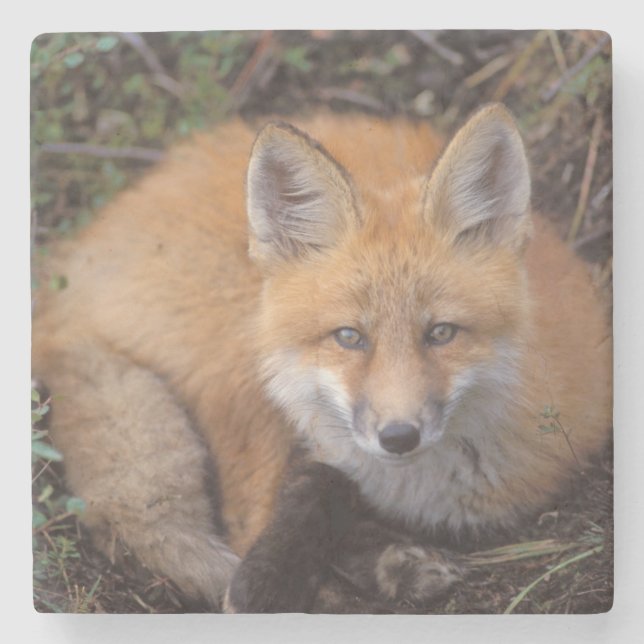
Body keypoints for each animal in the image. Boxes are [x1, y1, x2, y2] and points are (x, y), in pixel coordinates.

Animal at [32, 104, 612, 613]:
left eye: (442, 333)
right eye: (349, 337)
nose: (398, 437)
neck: (414, 488)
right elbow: (303, 496)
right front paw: (287, 578)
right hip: (242, 358)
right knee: (233, 519)